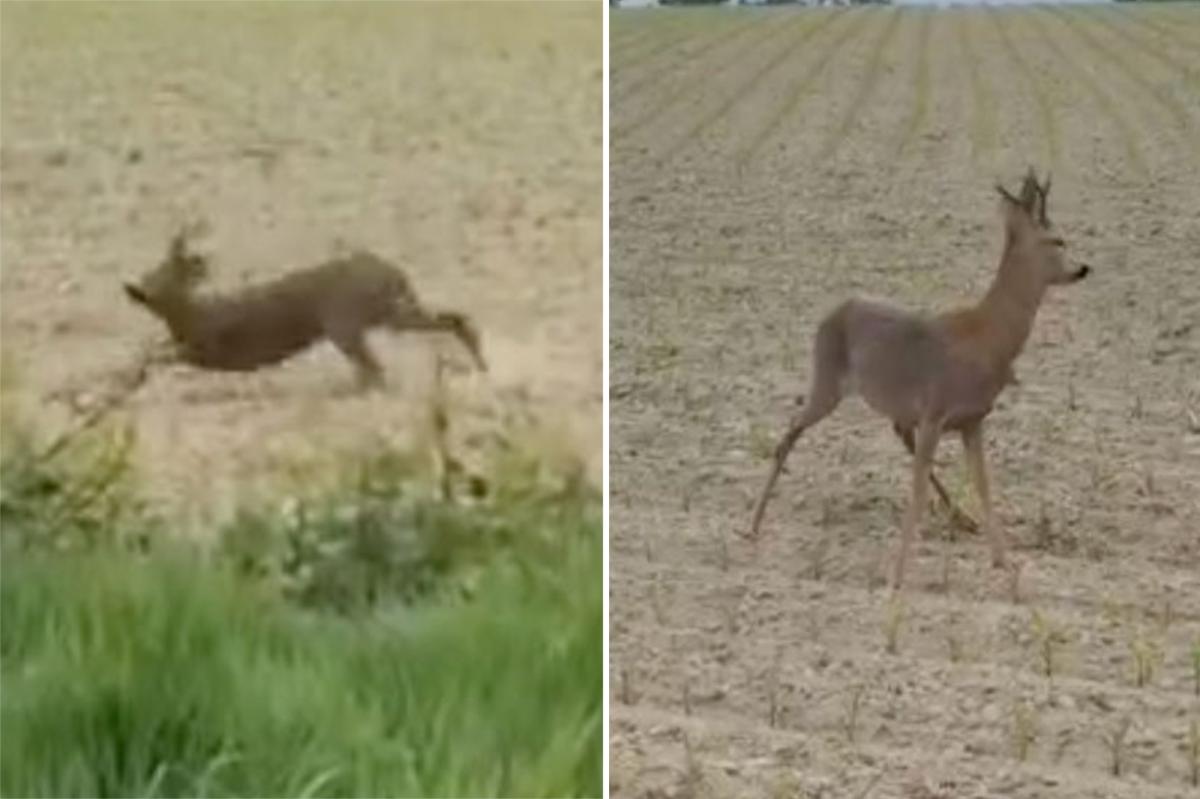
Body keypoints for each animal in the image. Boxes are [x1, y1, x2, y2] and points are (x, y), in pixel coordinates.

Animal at [123, 229, 488, 390]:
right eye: (156, 270)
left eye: (170, 268)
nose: (135, 288)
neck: (190, 314)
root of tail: (392, 272)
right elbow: (149, 349)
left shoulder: (208, 350)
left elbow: (154, 354)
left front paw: (122, 387)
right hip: (384, 313)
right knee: (453, 319)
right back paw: (478, 365)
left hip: (347, 323)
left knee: (375, 368)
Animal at [747, 169, 1090, 590]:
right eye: (1055, 239)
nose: (1081, 268)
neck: (988, 337)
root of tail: (832, 314)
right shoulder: (935, 410)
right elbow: (917, 488)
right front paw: (897, 575)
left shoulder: (972, 419)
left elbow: (982, 484)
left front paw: (1004, 563)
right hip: (827, 381)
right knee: (792, 428)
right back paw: (754, 522)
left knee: (892, 433)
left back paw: (960, 518)